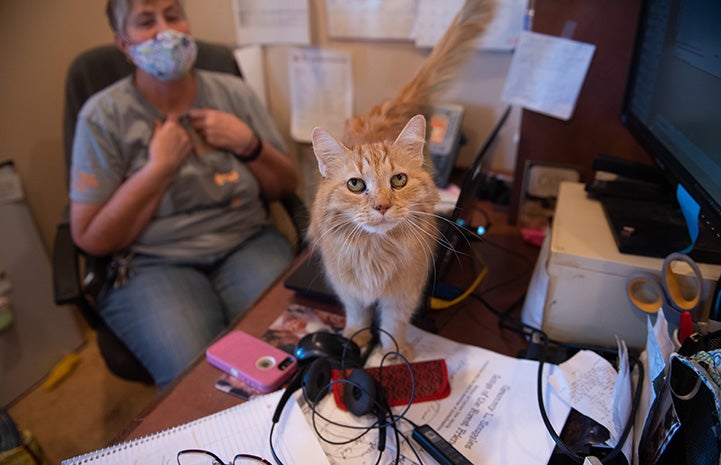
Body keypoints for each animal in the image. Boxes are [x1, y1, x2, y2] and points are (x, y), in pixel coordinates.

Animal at [304, 0, 496, 358]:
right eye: (355, 185)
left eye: (398, 181)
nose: (381, 206)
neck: (375, 252)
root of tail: (395, 102)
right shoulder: (348, 287)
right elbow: (357, 315)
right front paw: (355, 340)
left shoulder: (404, 292)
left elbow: (393, 324)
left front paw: (394, 352)